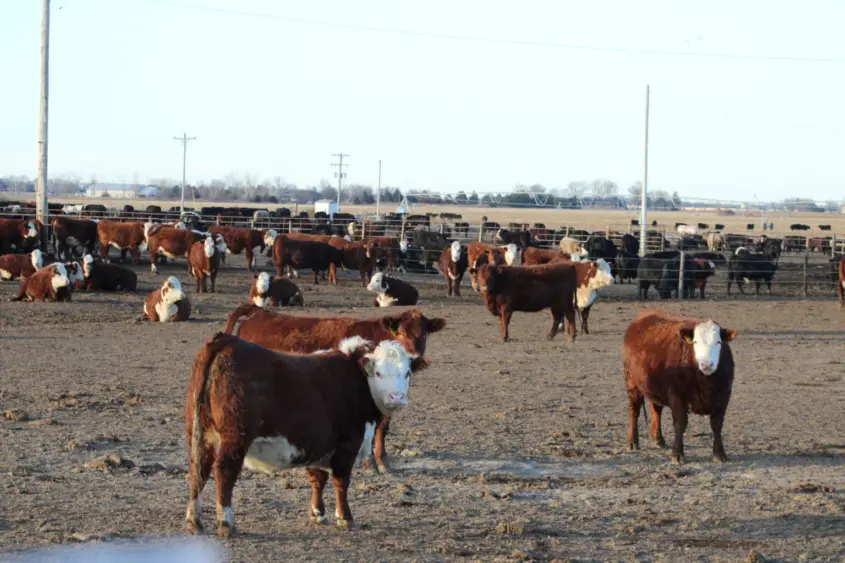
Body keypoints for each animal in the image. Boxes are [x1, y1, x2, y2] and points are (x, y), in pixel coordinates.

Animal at [183, 332, 425, 537]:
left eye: (407, 373)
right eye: (378, 372)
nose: (396, 397)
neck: (356, 378)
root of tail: (226, 340)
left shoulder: (319, 444)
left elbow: (318, 479)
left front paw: (317, 514)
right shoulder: (348, 443)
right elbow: (341, 481)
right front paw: (344, 517)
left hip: (199, 434)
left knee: (198, 470)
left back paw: (194, 521)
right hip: (235, 438)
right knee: (224, 473)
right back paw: (226, 524)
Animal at [223, 304, 446, 474]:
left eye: (424, 334)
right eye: (400, 332)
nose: (414, 355)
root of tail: (260, 312)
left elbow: (383, 428)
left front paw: (383, 461)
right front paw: (370, 464)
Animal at [623, 309, 737, 465]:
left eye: (719, 342)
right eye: (695, 342)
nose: (707, 364)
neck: (706, 383)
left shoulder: (724, 396)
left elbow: (717, 425)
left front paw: (720, 454)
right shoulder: (677, 397)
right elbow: (680, 424)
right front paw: (677, 454)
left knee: (656, 410)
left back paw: (658, 439)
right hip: (631, 382)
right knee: (634, 411)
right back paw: (632, 442)